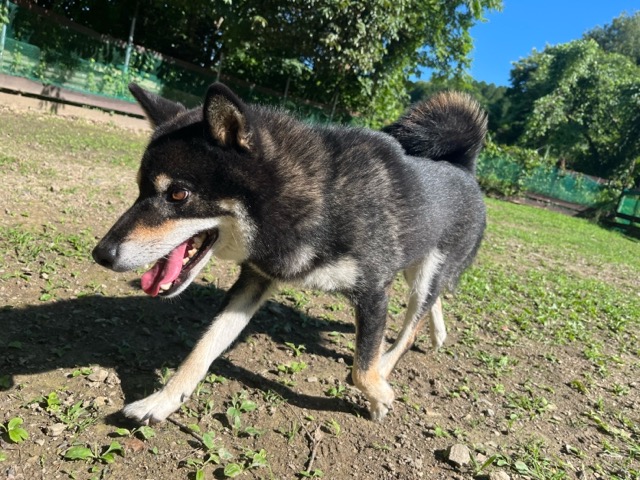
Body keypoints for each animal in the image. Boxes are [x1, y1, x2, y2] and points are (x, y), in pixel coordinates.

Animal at [92, 82, 487, 423]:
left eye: (177, 194)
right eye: (139, 190)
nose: (102, 254)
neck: (320, 200)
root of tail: (463, 166)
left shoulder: (374, 291)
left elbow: (361, 368)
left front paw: (380, 395)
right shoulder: (256, 279)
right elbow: (203, 348)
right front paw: (161, 401)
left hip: (425, 271)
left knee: (413, 321)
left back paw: (389, 364)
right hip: (413, 263)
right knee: (430, 303)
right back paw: (436, 335)